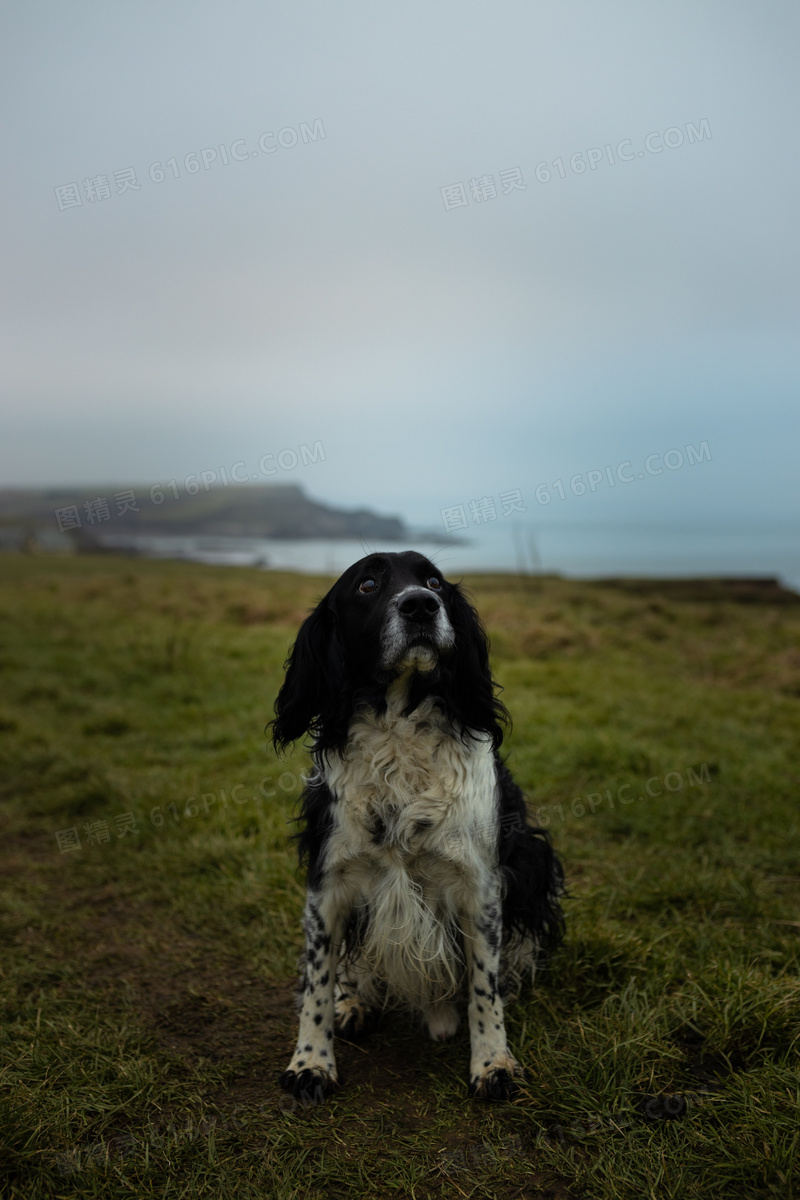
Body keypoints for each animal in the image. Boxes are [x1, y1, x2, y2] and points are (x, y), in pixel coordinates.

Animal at [272, 549, 566, 1099]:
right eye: (367, 585)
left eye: (433, 582)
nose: (420, 606)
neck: (398, 732)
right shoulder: (328, 883)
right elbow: (318, 980)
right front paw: (311, 1062)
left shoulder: (481, 885)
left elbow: (484, 985)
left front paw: (493, 1063)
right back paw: (354, 1003)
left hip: (535, 859)